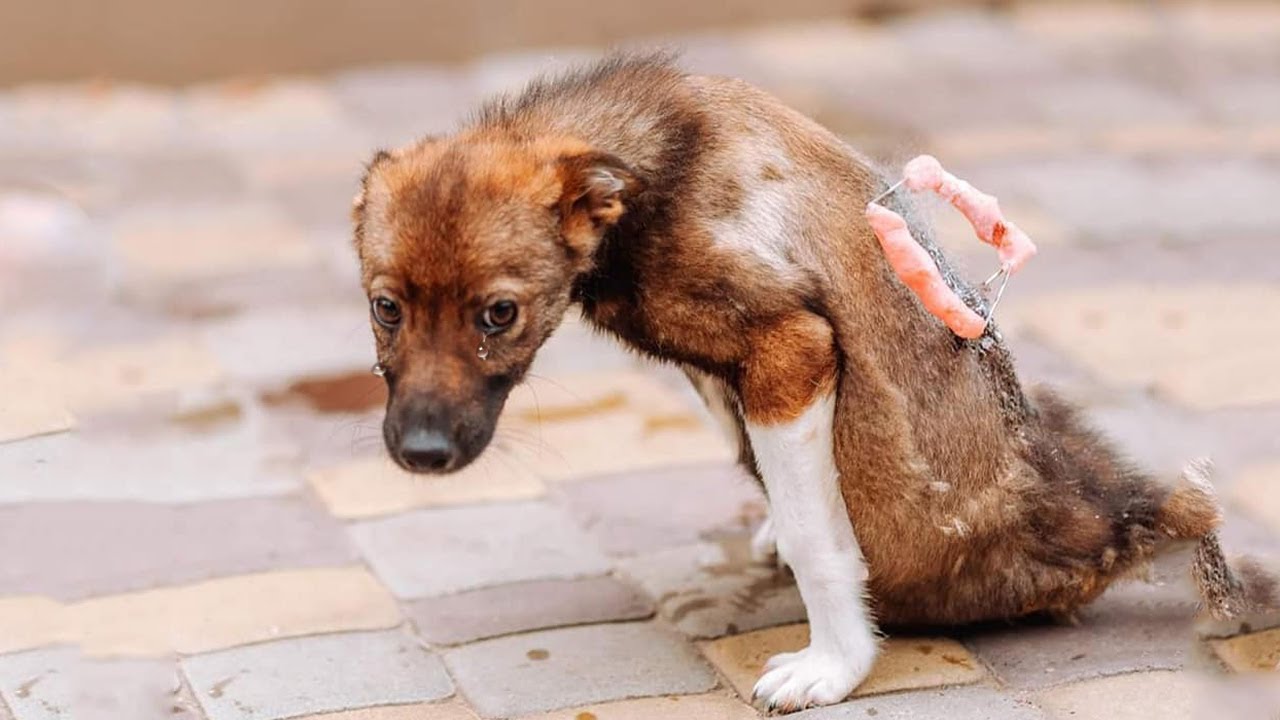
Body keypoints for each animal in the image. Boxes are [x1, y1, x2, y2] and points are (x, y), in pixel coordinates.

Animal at [348, 53, 1269, 707]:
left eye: (498, 314)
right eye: (385, 308)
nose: (421, 455)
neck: (646, 175)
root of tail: (1121, 523)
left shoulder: (792, 348)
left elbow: (813, 535)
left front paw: (835, 665)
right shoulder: (735, 373)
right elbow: (782, 491)